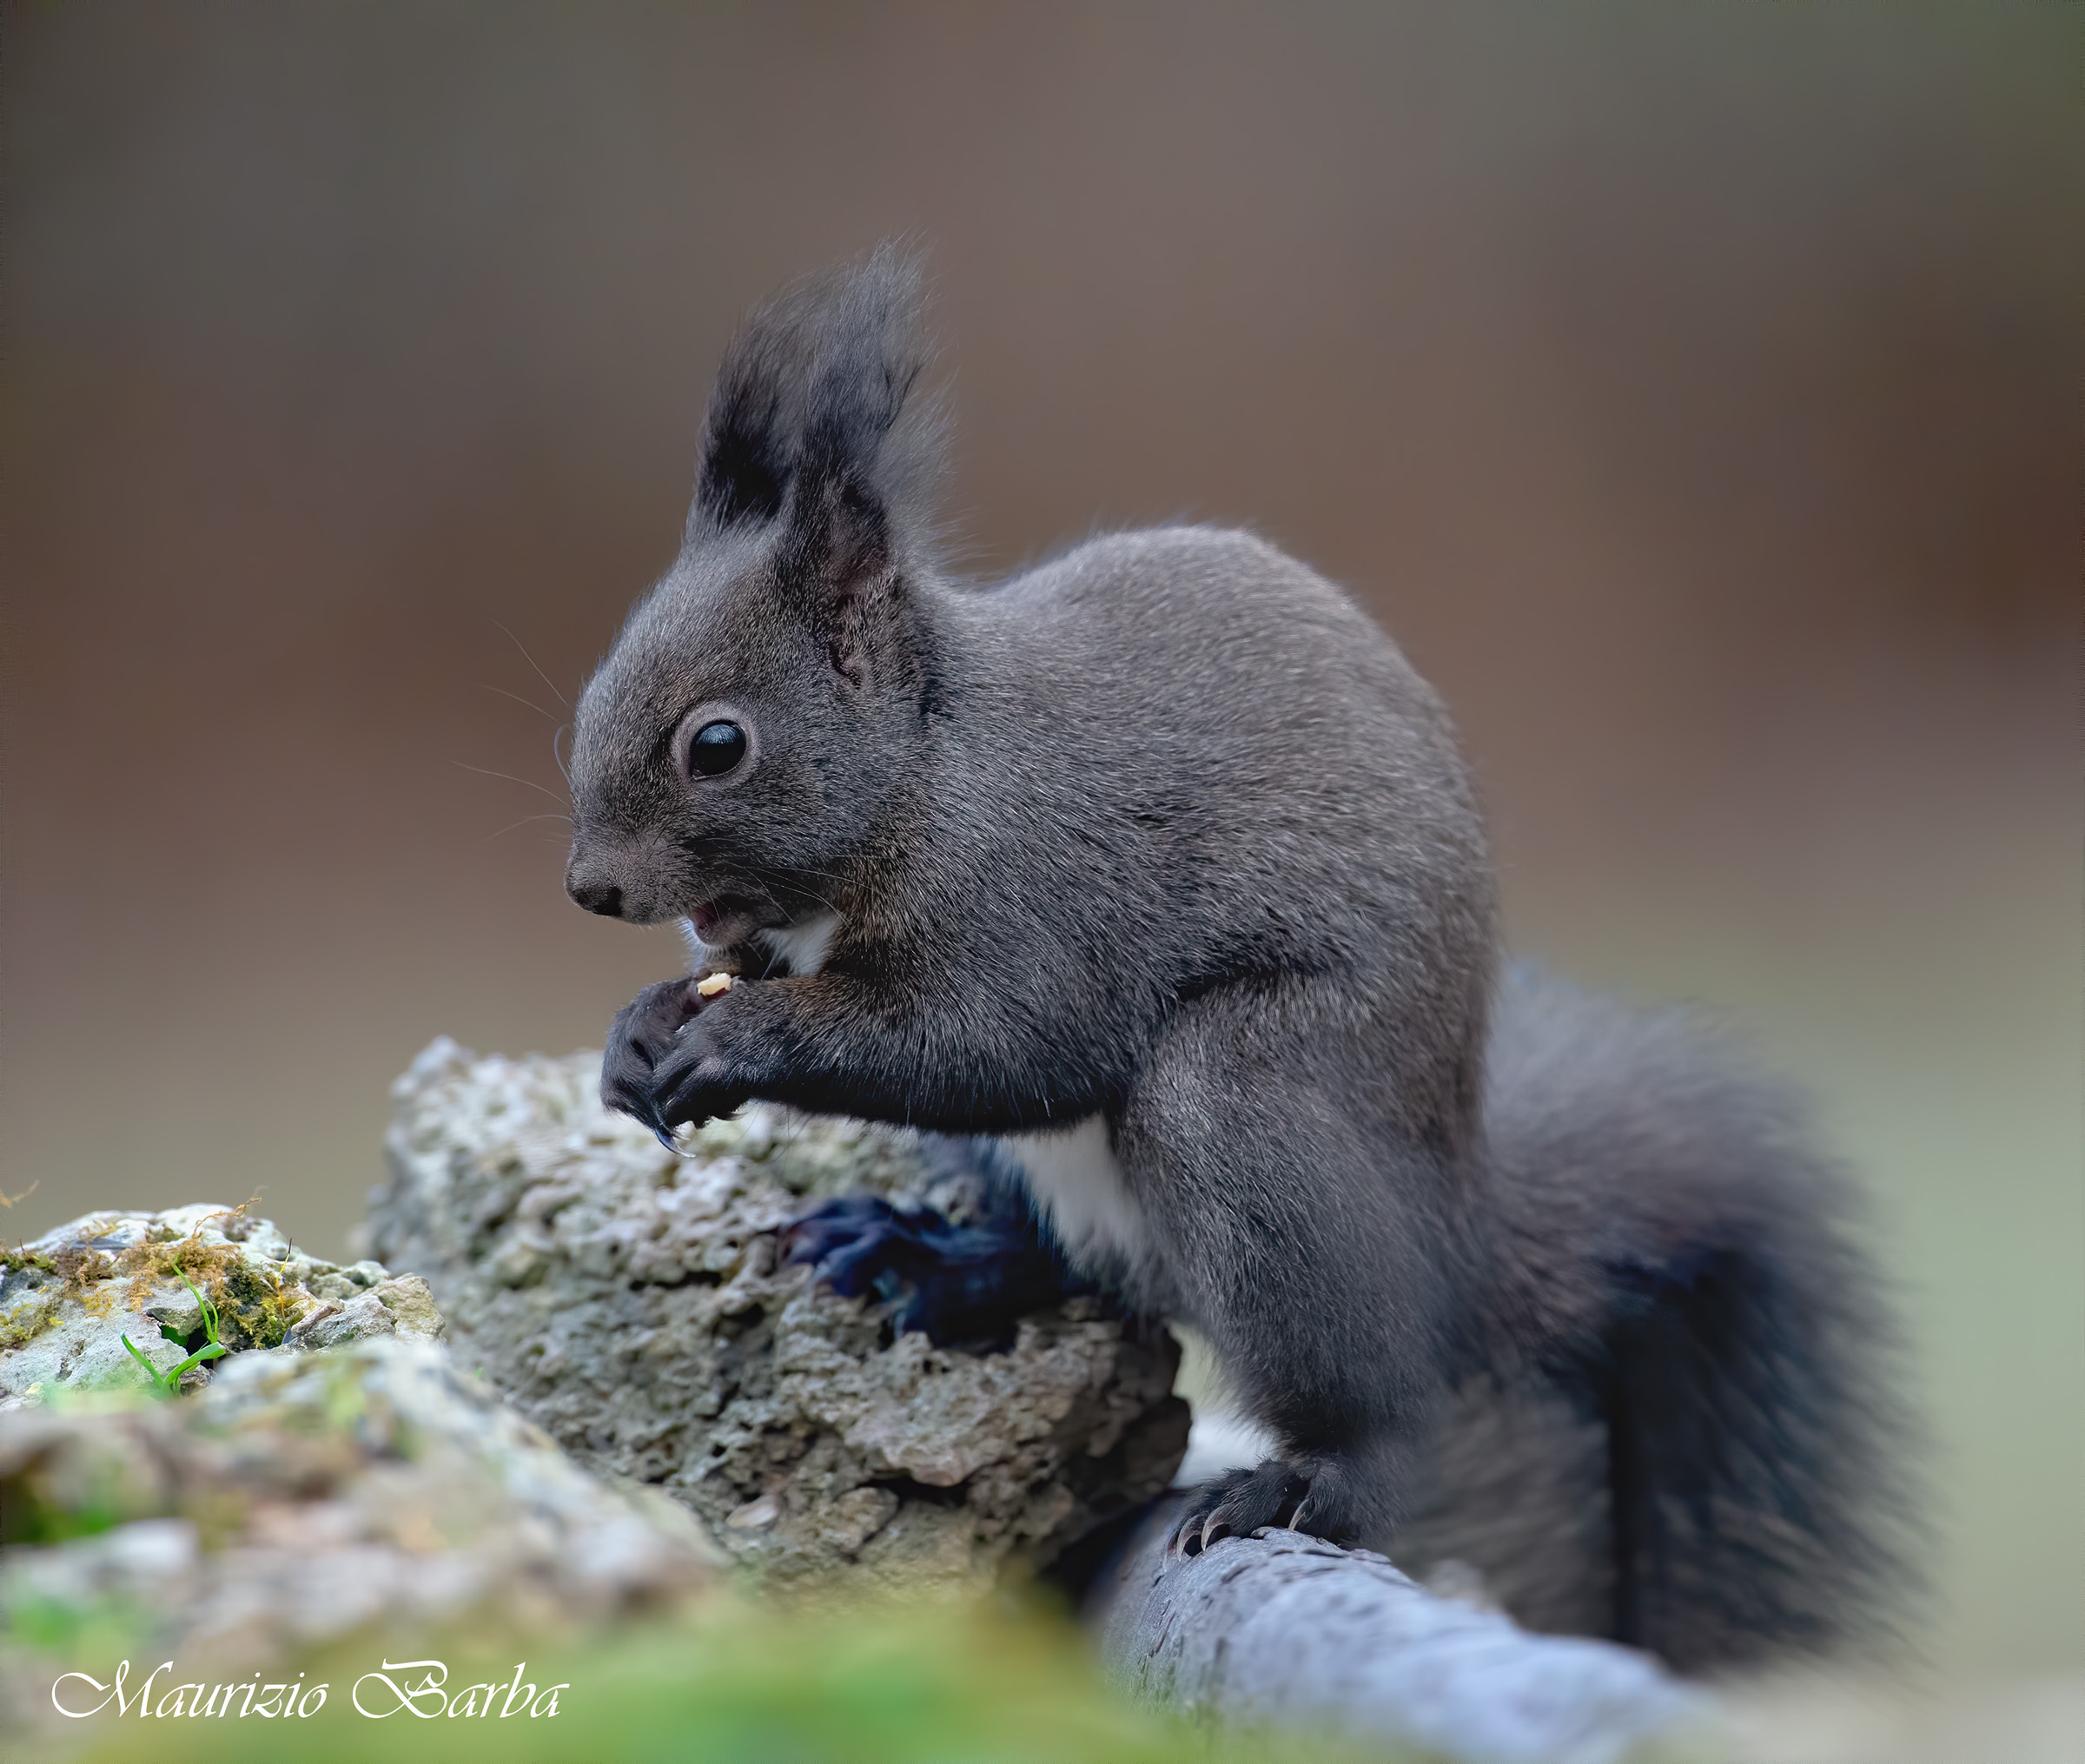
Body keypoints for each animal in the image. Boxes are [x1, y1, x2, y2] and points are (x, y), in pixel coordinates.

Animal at [562, 247, 1913, 1674]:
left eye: (718, 743)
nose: (592, 887)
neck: (924, 765)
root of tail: (1450, 1233)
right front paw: (640, 1031)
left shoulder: (1039, 889)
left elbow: (998, 1042)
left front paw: (731, 1038)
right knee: (1084, 1267)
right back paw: (933, 1256)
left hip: (1251, 1114)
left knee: (1360, 1393)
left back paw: (1301, 1478)